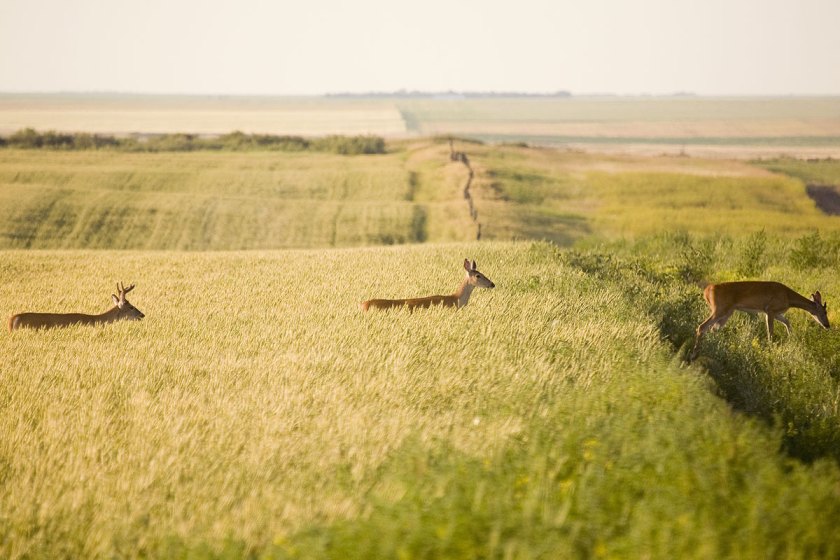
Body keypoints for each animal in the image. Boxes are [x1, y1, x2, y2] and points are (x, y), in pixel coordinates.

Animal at [692, 282, 832, 360]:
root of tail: (706, 291)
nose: (827, 325)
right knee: (702, 327)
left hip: (727, 312)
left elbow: (787, 322)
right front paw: (771, 349)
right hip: (720, 309)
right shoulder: (770, 309)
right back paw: (694, 354)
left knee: (712, 329)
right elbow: (770, 332)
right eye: (825, 312)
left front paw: (792, 339)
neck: (788, 297)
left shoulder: (776, 312)